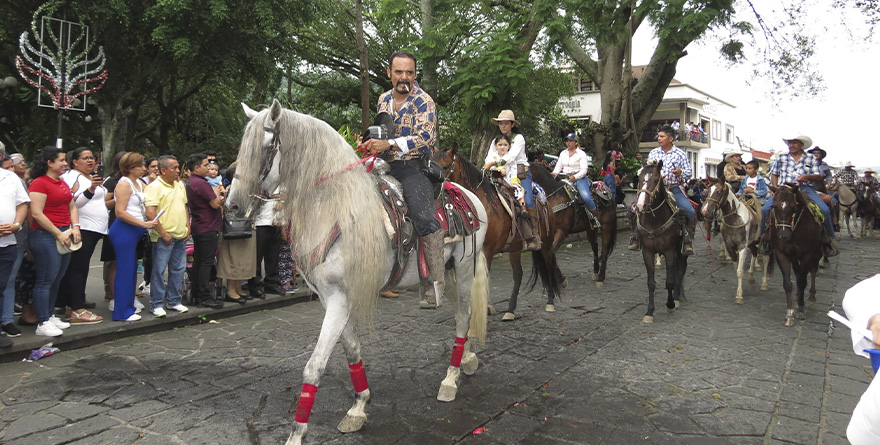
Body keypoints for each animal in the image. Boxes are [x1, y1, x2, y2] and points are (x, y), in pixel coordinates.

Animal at [227, 100, 488, 444]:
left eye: (267, 147)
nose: (232, 206)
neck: (333, 209)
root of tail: (468, 195)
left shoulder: (340, 299)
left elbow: (314, 366)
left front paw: (297, 433)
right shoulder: (332, 298)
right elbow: (351, 350)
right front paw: (358, 407)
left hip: (465, 266)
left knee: (462, 317)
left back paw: (450, 379)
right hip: (450, 270)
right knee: (465, 315)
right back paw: (467, 358)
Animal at [434, 147, 564, 318]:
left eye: (445, 166)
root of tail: (545, 201)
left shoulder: (487, 250)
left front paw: (483, 309)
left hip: (547, 244)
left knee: (548, 267)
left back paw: (550, 302)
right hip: (515, 248)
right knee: (518, 274)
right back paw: (510, 310)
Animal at [632, 161, 688, 320]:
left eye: (656, 180)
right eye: (639, 179)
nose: (640, 206)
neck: (654, 221)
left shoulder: (669, 250)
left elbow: (669, 281)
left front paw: (670, 304)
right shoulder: (647, 252)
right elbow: (651, 283)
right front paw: (649, 312)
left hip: (681, 248)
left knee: (680, 269)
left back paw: (677, 297)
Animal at [764, 184, 824, 326]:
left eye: (793, 208)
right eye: (774, 206)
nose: (783, 235)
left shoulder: (807, 254)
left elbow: (802, 281)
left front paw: (801, 311)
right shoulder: (781, 254)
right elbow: (788, 283)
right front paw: (789, 314)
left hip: (816, 254)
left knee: (812, 271)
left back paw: (811, 296)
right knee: (798, 273)